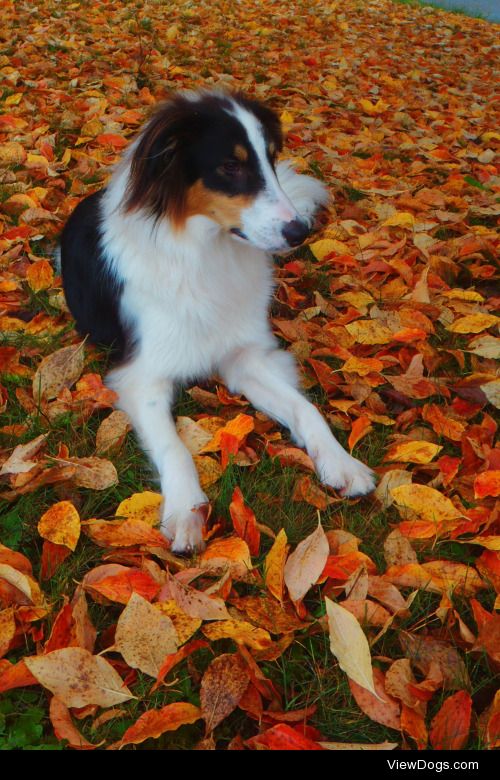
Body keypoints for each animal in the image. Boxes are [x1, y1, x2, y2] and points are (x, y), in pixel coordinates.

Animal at [59, 91, 376, 552]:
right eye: (230, 166)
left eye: (272, 158)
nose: (300, 231)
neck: (207, 253)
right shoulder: (142, 376)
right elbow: (174, 448)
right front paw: (186, 511)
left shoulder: (245, 358)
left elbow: (306, 408)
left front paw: (341, 461)